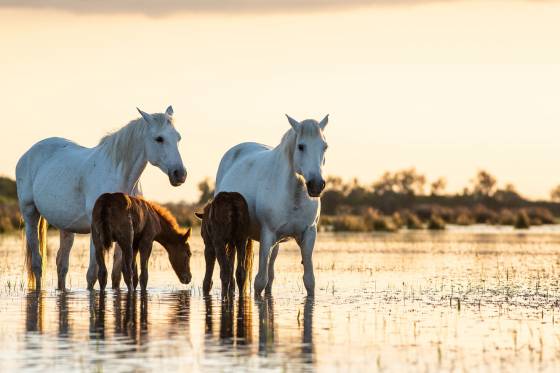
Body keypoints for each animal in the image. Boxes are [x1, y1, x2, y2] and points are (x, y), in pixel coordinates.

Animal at [14, 106, 186, 290]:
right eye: (159, 139)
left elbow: (118, 274)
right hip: (30, 214)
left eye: (178, 138)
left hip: (66, 227)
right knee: (37, 264)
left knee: (62, 264)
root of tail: (28, 154)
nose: (180, 174)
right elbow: (93, 274)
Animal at [214, 115, 328, 294]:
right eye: (301, 146)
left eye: (325, 146)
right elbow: (260, 281)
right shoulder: (267, 235)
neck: (293, 196)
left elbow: (309, 281)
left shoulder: (309, 234)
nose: (316, 185)